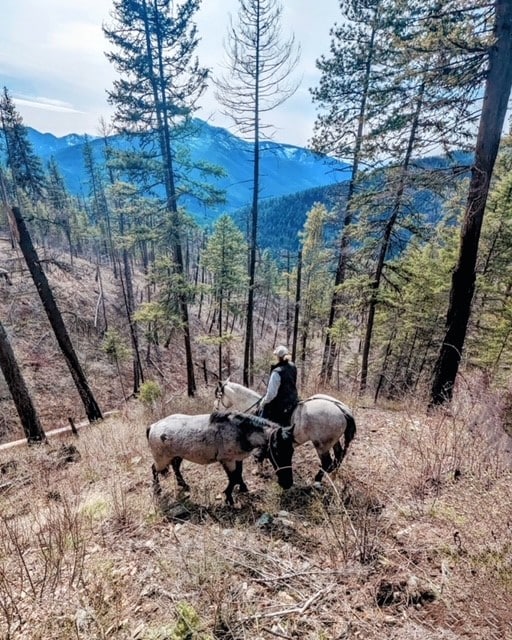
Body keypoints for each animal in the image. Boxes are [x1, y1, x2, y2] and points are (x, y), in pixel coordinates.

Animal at [146, 410, 294, 504]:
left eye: (291, 451)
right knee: (154, 469)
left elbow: (238, 475)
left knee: (175, 467)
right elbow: (233, 478)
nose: (287, 484)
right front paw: (228, 497)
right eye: (278, 452)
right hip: (161, 459)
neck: (241, 431)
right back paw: (157, 490)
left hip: (177, 455)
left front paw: (243, 488)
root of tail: (153, 426)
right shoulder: (228, 460)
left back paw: (184, 485)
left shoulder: (237, 458)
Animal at [213, 380, 356, 480]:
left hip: (321, 445)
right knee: (338, 458)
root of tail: (342, 410)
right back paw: (332, 477)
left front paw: (258, 471)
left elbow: (258, 457)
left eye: (218, 396)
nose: (215, 410)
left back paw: (317, 480)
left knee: (327, 463)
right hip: (333, 441)